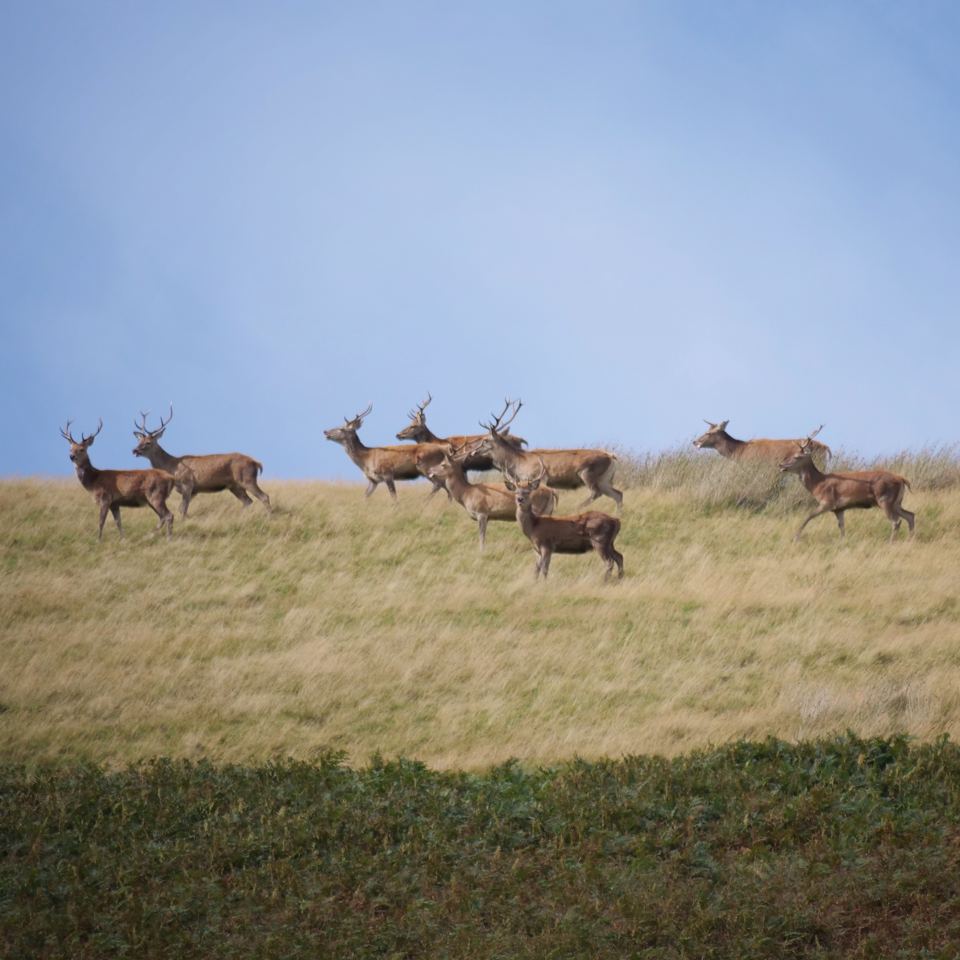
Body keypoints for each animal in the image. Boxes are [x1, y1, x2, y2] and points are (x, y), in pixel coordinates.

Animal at [132, 406, 270, 517]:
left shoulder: (188, 484)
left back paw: (269, 517)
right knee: (248, 501)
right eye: (139, 441)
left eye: (148, 442)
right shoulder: (193, 490)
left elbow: (183, 510)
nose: (134, 450)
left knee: (264, 497)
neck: (171, 467)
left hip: (247, 479)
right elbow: (181, 509)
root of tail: (256, 463)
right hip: (234, 486)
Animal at [424, 445, 558, 548]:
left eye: (443, 464)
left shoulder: (482, 512)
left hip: (538, 509)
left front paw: (481, 551)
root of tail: (551, 491)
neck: (466, 493)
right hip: (548, 510)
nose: (430, 470)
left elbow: (482, 536)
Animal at [473, 399, 623, 511]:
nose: (473, 451)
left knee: (596, 493)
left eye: (485, 440)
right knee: (618, 494)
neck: (518, 462)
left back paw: (576, 508)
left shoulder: (540, 476)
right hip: (604, 479)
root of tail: (611, 456)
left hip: (588, 473)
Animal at [778, 435, 915, 542]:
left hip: (885, 499)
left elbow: (808, 516)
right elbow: (841, 526)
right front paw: (842, 541)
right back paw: (910, 540)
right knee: (910, 515)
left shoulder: (827, 502)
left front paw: (795, 538)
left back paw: (891, 542)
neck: (818, 484)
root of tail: (902, 479)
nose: (781, 465)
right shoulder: (839, 508)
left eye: (797, 456)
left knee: (896, 521)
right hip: (896, 502)